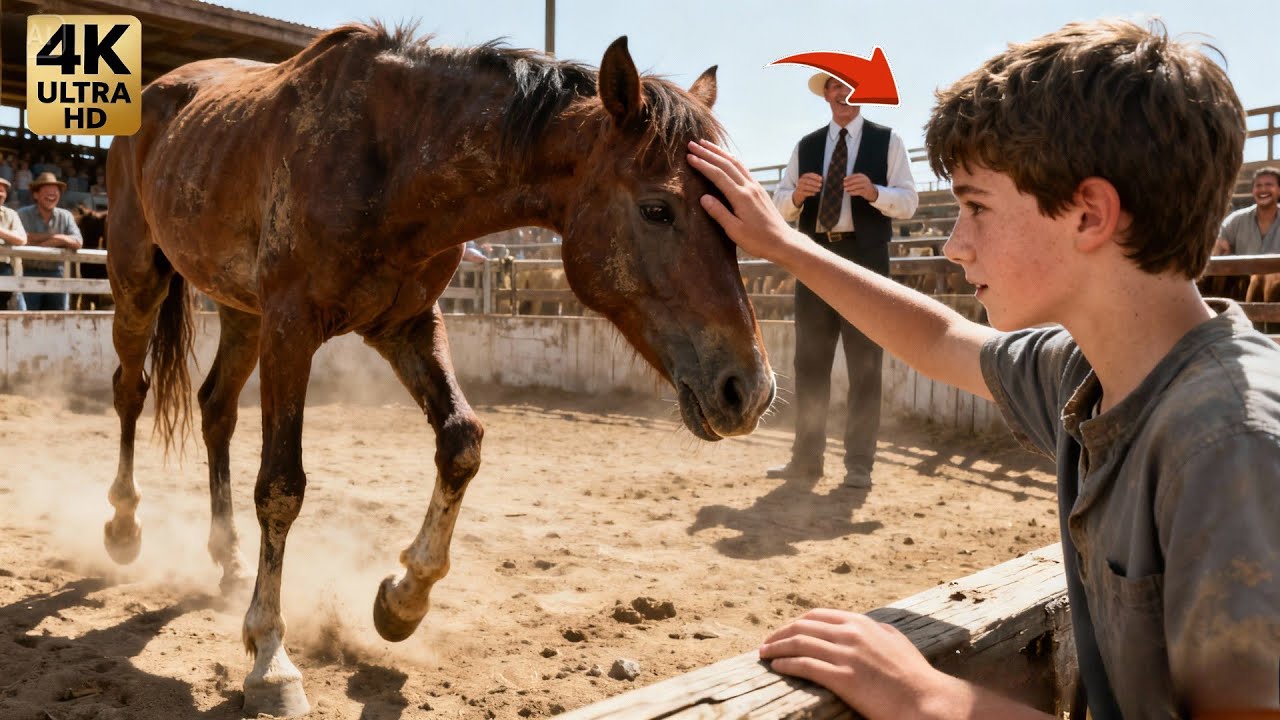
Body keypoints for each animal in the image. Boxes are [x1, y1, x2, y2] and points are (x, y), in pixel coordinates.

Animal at [104, 22, 775, 717]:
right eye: (657, 210)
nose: (749, 390)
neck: (389, 162)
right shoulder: (292, 328)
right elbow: (282, 487)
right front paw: (270, 658)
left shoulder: (407, 326)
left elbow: (461, 443)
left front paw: (404, 599)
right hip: (139, 279)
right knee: (131, 391)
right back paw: (124, 526)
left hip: (242, 313)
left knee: (215, 409)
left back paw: (231, 562)